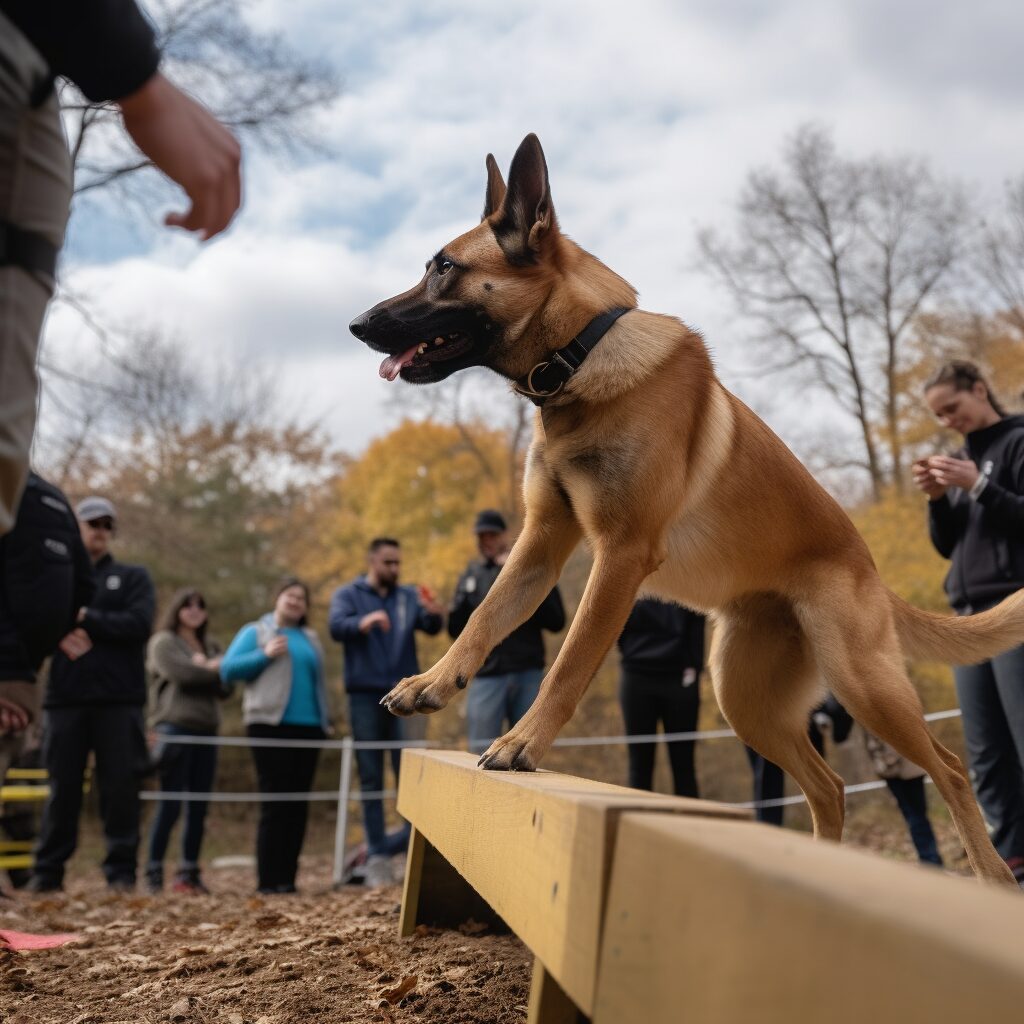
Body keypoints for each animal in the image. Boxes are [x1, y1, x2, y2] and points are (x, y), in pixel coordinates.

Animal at [350, 134, 1024, 888]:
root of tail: (870, 569)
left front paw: (522, 743)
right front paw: (432, 683)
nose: (356, 325)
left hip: (864, 684)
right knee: (828, 787)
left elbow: (569, 662)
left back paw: (993, 877)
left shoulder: (619, 556)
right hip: (745, 698)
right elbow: (484, 618)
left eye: (444, 269)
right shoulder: (541, 543)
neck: (580, 354)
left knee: (951, 769)